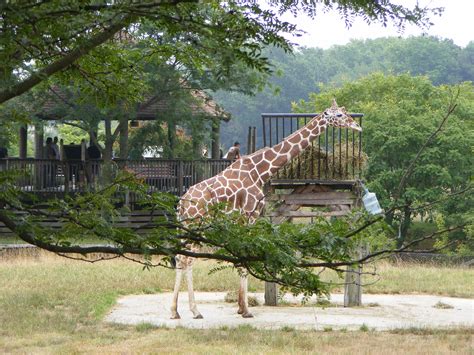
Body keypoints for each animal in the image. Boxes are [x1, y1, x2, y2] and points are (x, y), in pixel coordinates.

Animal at [172, 99, 362, 320]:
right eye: (339, 115)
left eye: (345, 111)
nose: (357, 126)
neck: (260, 171)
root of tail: (182, 203)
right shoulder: (250, 216)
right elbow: (244, 259)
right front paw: (246, 311)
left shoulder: (242, 221)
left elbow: (240, 260)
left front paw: (240, 307)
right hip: (197, 224)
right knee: (186, 259)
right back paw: (192, 311)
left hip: (187, 226)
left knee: (181, 258)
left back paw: (177, 311)